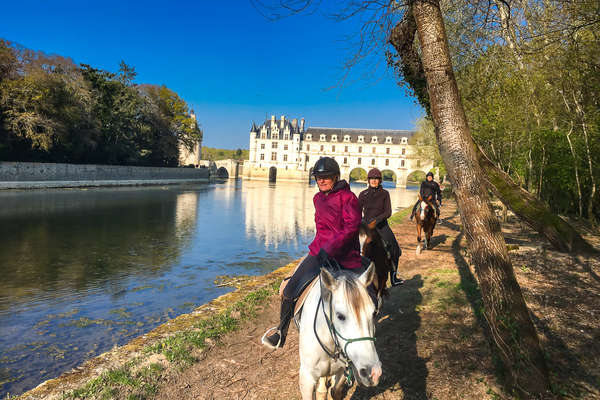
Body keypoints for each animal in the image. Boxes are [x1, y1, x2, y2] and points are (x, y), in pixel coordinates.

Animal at [298, 264, 382, 398]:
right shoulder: (306, 380)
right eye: (340, 316)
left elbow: (335, 390)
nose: (373, 373)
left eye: (374, 313)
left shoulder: (344, 369)